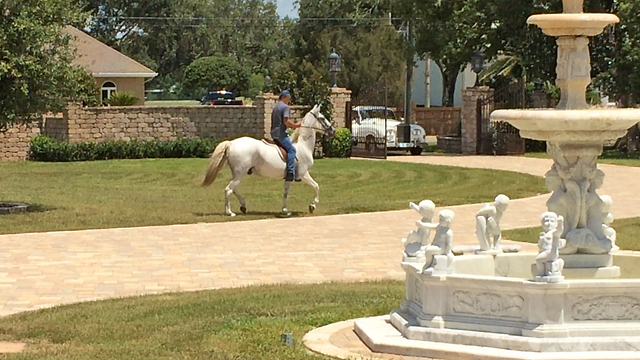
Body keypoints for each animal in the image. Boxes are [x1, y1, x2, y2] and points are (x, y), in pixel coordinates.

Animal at [201, 104, 336, 217]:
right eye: (322, 118)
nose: (332, 130)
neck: (303, 146)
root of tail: (232, 143)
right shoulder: (303, 174)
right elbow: (316, 186)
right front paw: (312, 206)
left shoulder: (289, 177)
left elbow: (286, 193)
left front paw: (285, 210)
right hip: (240, 174)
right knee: (228, 190)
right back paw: (230, 212)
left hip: (238, 174)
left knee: (233, 189)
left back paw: (243, 206)